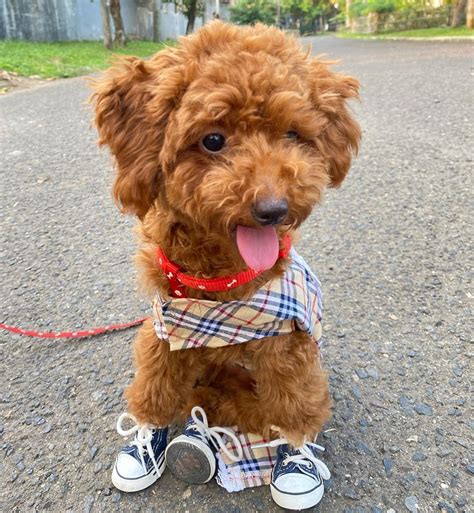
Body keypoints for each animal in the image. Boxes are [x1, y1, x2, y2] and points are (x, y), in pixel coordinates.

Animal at [91, 19, 360, 504]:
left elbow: (293, 402)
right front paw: (147, 435)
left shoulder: (284, 342)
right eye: (213, 140)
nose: (273, 209)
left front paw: (295, 451)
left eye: (292, 135)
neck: (219, 283)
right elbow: (155, 385)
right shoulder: (165, 331)